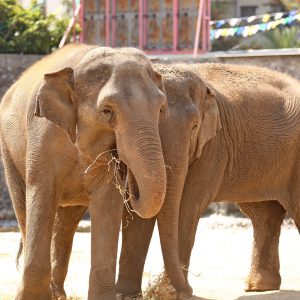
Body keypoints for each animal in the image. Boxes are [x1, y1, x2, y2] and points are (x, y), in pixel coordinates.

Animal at [0, 43, 169, 298]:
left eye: (160, 109)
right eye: (107, 111)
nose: (124, 167)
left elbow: (107, 202)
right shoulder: (42, 136)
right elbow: (41, 194)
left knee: (65, 224)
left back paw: (58, 293)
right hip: (8, 150)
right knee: (24, 209)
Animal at [114, 62, 300, 298]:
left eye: (194, 127)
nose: (189, 289)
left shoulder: (213, 146)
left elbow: (187, 207)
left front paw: (169, 293)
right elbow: (140, 213)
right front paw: (125, 295)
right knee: (264, 214)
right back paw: (258, 287)